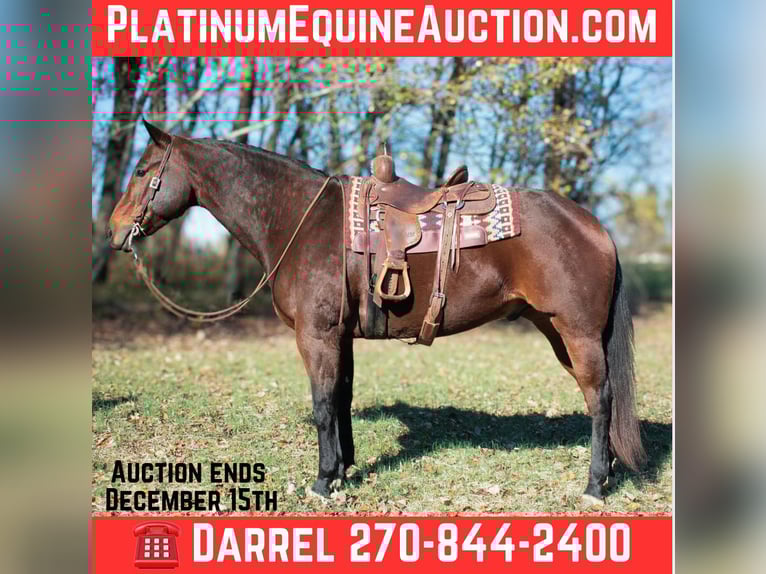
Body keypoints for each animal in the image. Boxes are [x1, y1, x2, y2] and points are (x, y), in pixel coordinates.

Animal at [108, 119, 645, 506]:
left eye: (141, 171)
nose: (114, 231)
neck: (303, 221)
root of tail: (592, 224)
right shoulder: (340, 335)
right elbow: (342, 398)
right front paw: (344, 469)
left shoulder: (317, 335)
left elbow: (323, 404)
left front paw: (323, 481)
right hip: (559, 332)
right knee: (602, 398)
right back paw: (609, 472)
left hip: (576, 332)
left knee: (600, 398)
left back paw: (594, 485)